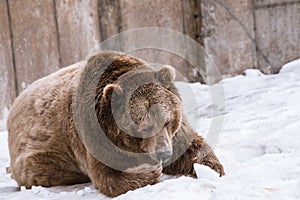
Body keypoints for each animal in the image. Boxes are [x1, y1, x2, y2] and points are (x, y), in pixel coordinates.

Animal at [7, 51, 224, 197]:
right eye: (144, 127)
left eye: (167, 121)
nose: (163, 154)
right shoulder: (93, 134)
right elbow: (108, 176)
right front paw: (149, 171)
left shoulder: (174, 134)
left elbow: (191, 146)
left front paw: (213, 169)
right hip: (42, 156)